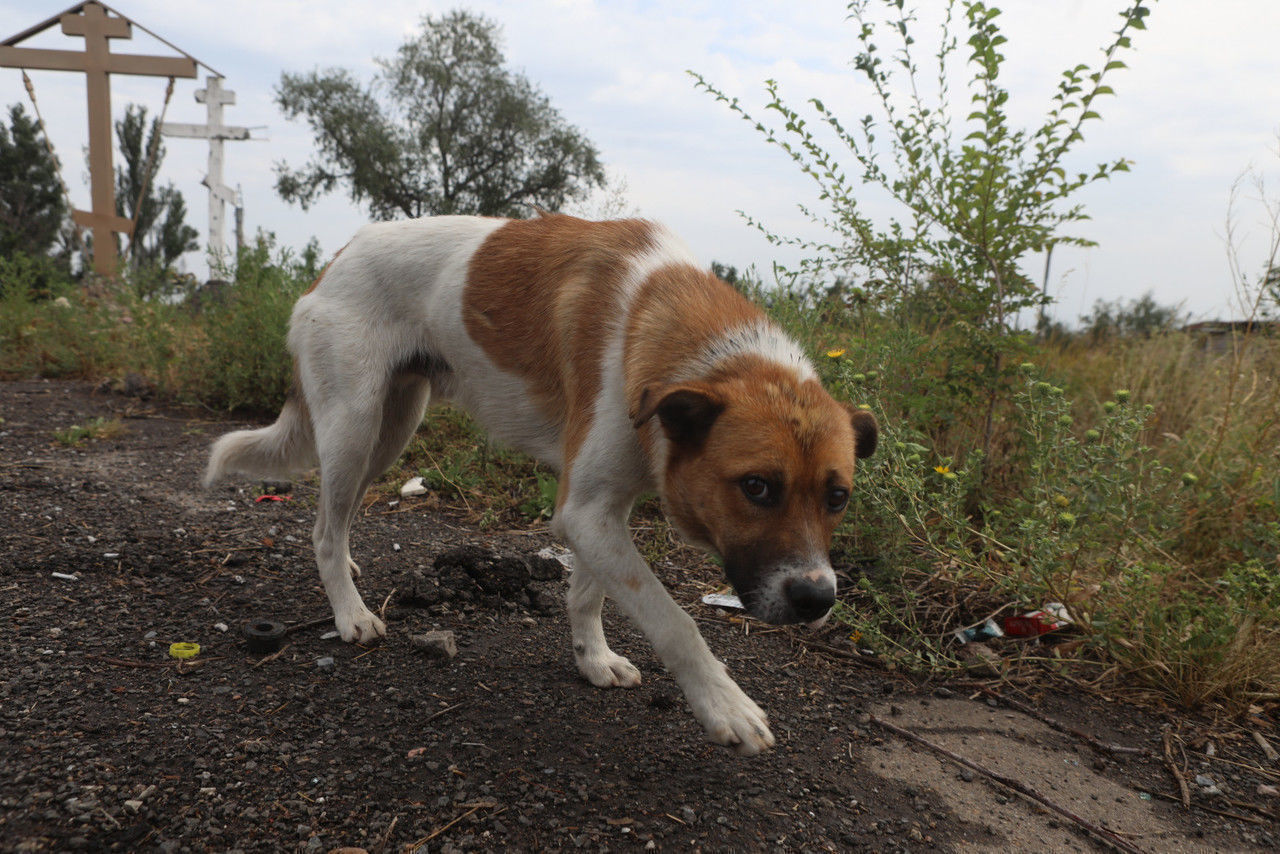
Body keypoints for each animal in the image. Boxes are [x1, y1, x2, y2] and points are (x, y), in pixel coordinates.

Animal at [204, 213, 875, 752]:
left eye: (838, 497)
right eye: (757, 487)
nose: (818, 599)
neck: (670, 330)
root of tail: (334, 260)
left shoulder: (599, 510)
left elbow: (589, 594)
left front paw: (592, 660)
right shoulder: (586, 512)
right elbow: (674, 623)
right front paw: (725, 706)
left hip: (391, 428)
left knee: (335, 518)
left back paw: (349, 574)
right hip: (354, 423)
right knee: (321, 528)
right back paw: (350, 613)